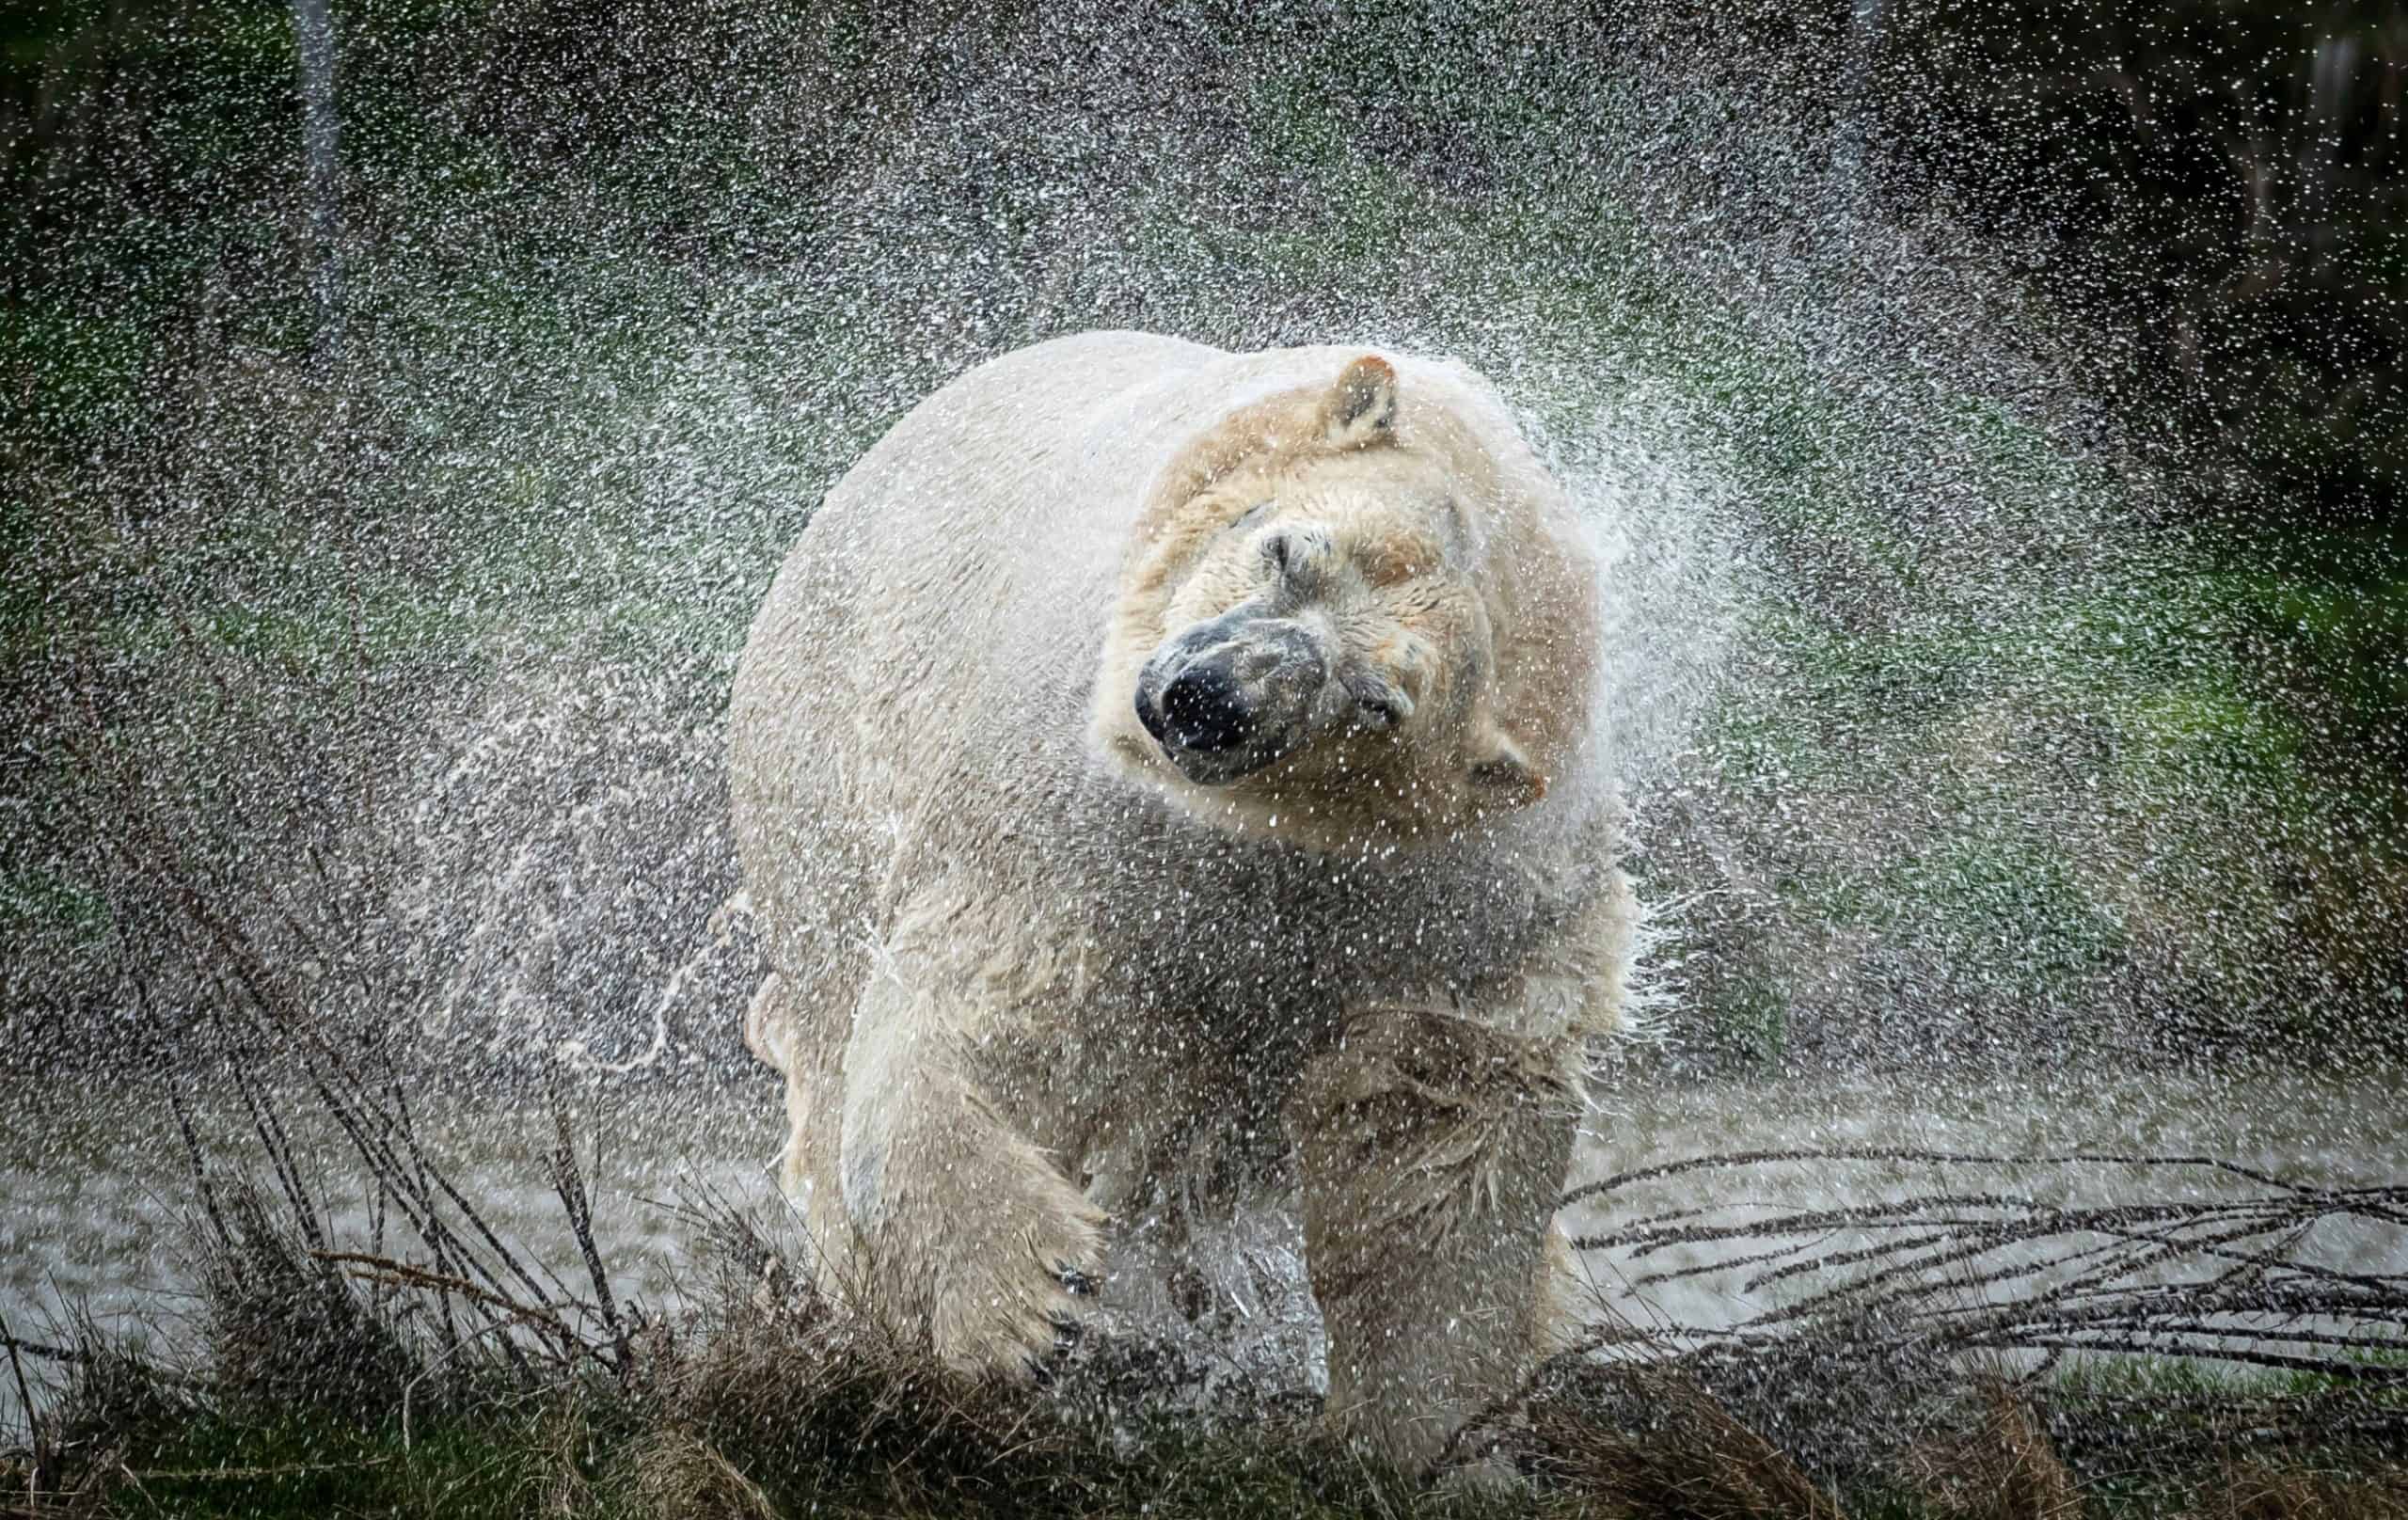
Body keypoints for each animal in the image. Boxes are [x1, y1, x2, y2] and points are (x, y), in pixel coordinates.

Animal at [727, 334, 1637, 1474]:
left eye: (1378, 701)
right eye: (1288, 549)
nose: (1209, 698)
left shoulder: (1468, 901)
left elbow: (1438, 1115)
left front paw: (1430, 1430)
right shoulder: (1078, 807)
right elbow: (1002, 993)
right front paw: (1027, 1303)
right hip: (827, 745)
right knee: (831, 1003)